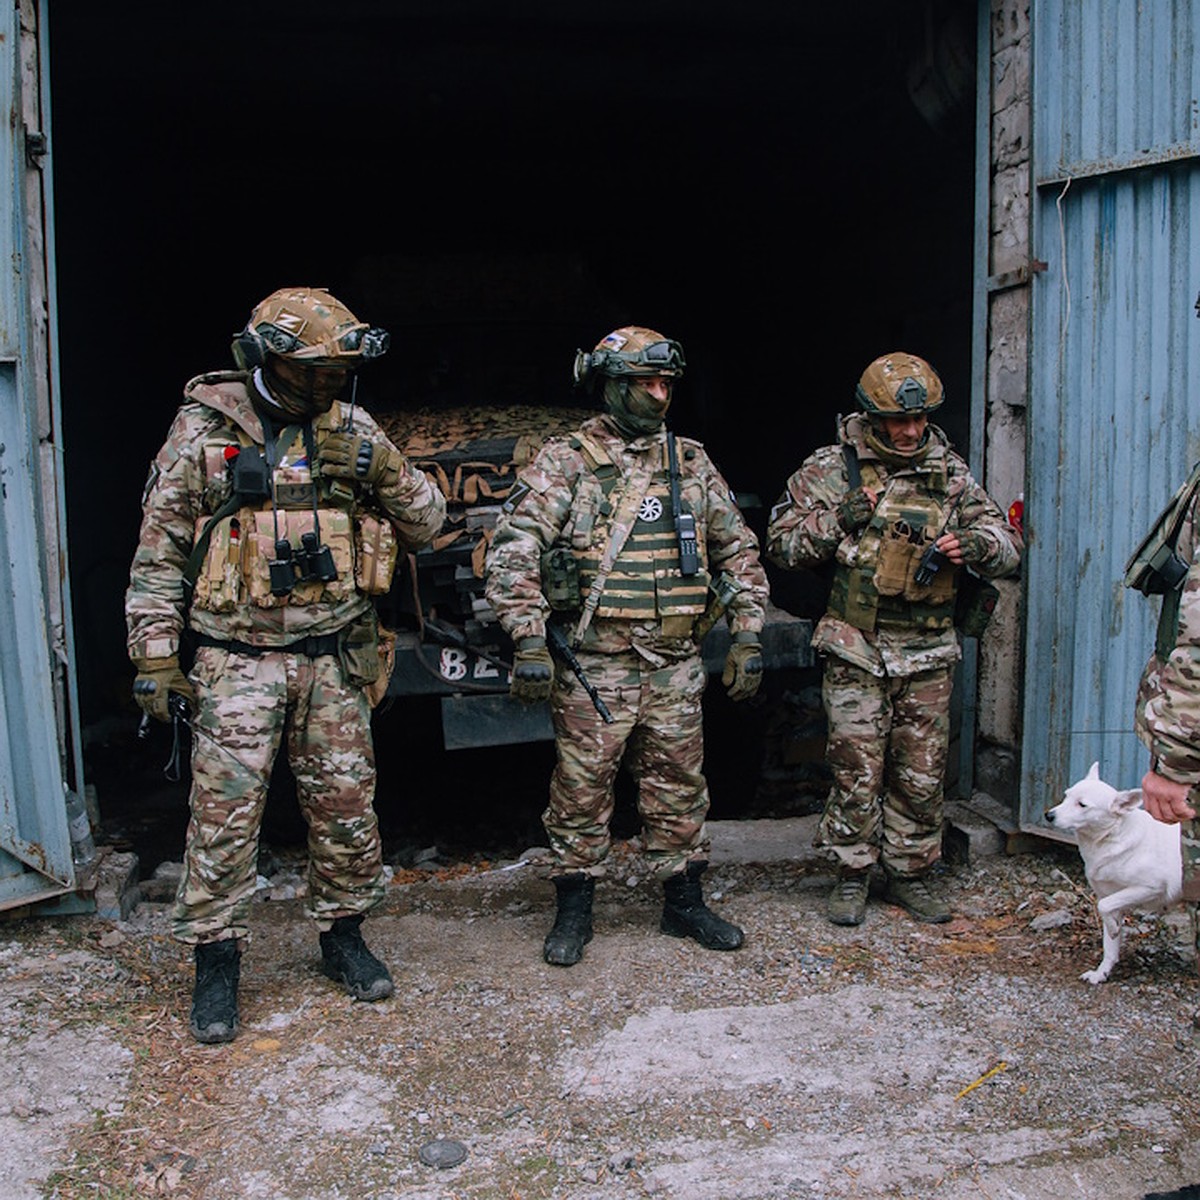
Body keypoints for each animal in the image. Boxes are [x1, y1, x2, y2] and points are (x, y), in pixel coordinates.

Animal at [1041, 763, 1180, 979]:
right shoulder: (1113, 896)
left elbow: (1103, 907)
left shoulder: (1150, 887)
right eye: (1066, 796)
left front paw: (1114, 928)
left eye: (1082, 805)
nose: (1049, 815)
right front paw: (1101, 973)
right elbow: (1110, 944)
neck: (1112, 836)